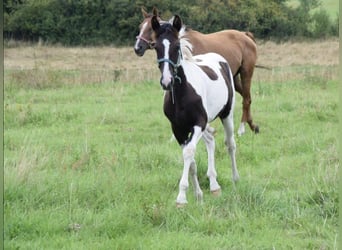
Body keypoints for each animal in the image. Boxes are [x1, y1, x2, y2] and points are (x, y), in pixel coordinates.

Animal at [134, 7, 260, 137]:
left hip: (246, 73)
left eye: (150, 28)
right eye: (140, 26)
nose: (138, 48)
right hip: (233, 79)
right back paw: (253, 126)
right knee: (247, 97)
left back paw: (242, 128)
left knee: (246, 99)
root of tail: (246, 35)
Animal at [151, 15, 239, 207]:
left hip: (227, 115)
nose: (166, 82)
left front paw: (181, 198)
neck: (182, 95)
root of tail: (218, 57)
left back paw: (235, 178)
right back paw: (214, 186)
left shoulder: (198, 123)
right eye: (156, 46)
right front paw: (198, 194)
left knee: (230, 144)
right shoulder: (179, 129)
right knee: (211, 141)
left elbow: (189, 153)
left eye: (177, 46)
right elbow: (190, 160)